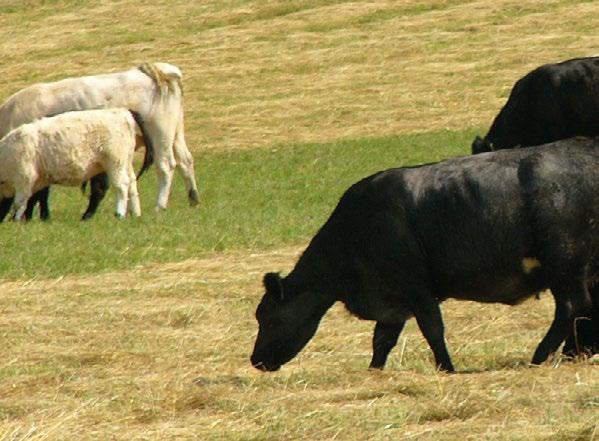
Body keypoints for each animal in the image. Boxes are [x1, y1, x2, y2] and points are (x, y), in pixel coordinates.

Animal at [0, 62, 199, 217]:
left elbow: (38, 193)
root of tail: (160, 70)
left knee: (166, 166)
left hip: (161, 136)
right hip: (176, 135)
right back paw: (194, 199)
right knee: (185, 161)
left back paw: (160, 205)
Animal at [251, 138, 596, 372]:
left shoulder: (418, 290)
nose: (255, 359)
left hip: (564, 263)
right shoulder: (393, 300)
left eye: (266, 316)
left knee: (570, 306)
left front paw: (447, 368)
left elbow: (432, 330)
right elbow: (382, 340)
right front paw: (374, 371)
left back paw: (540, 356)